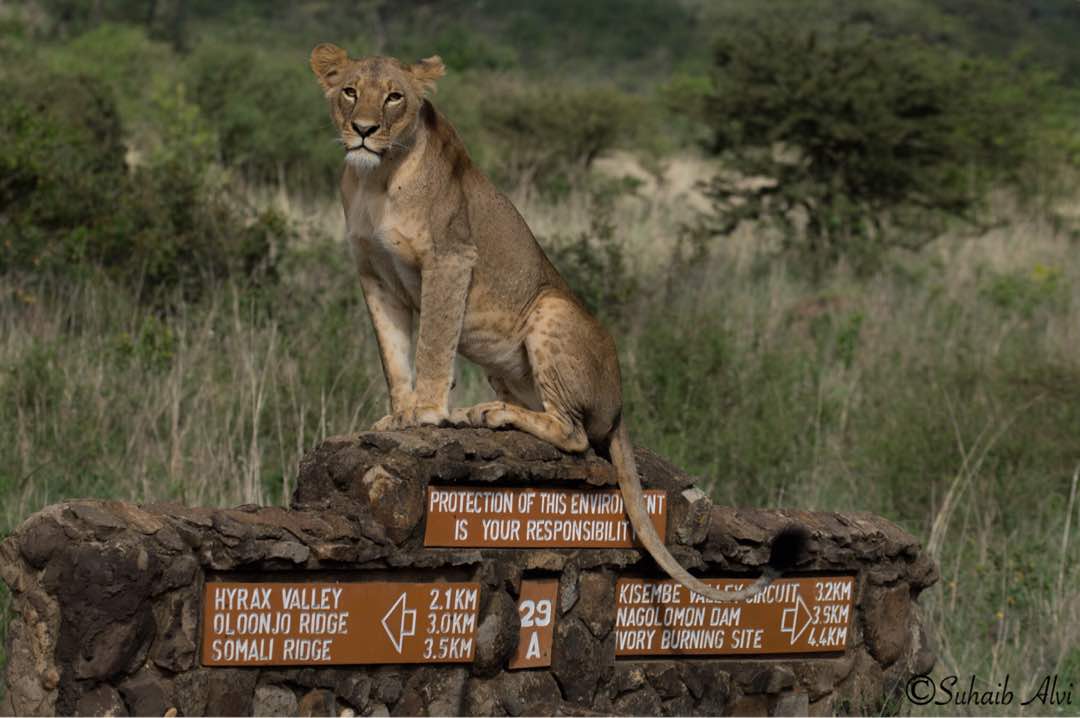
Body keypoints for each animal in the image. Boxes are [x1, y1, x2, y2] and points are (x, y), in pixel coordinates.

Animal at [310, 44, 804, 602]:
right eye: (350, 91)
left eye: (395, 97)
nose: (364, 129)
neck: (374, 178)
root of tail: (621, 406)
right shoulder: (374, 275)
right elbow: (394, 355)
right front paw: (398, 414)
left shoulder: (451, 257)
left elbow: (433, 342)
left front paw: (427, 414)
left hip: (550, 309)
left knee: (574, 434)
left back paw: (487, 414)